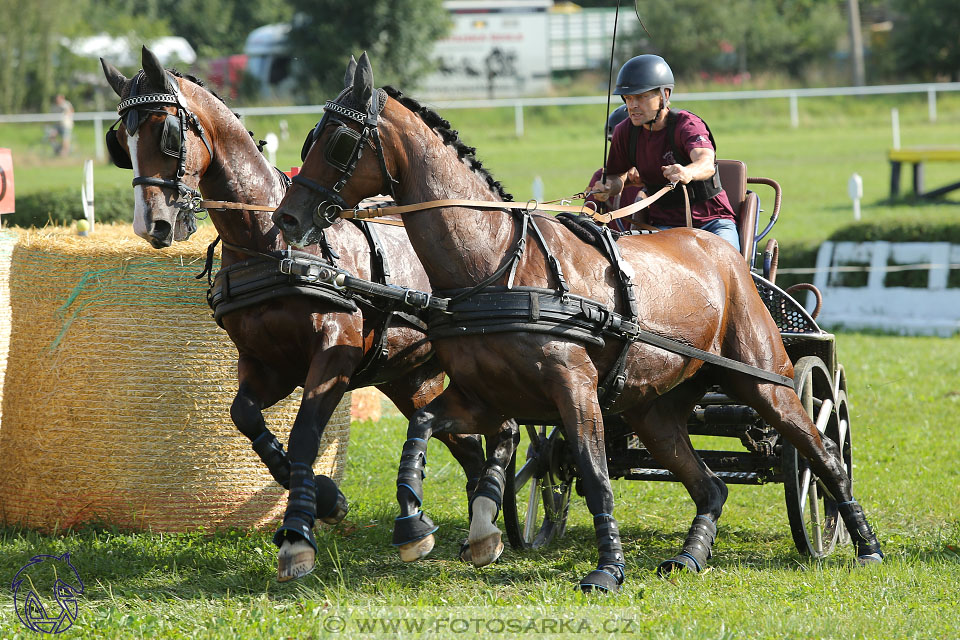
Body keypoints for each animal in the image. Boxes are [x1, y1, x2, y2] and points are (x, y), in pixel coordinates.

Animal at [100, 47, 488, 584]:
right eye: (121, 142)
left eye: (167, 132)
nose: (151, 224)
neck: (270, 244)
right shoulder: (268, 364)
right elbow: (244, 416)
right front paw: (327, 499)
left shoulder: (333, 357)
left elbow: (304, 432)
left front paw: (297, 536)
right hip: (411, 378)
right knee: (467, 441)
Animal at [272, 52, 884, 592]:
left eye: (338, 139)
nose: (287, 219)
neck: (497, 266)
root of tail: (727, 257)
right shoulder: (484, 395)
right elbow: (422, 427)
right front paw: (414, 525)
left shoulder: (576, 390)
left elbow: (594, 475)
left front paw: (607, 570)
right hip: (655, 411)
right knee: (710, 486)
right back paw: (689, 556)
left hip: (765, 382)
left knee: (821, 452)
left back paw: (863, 543)